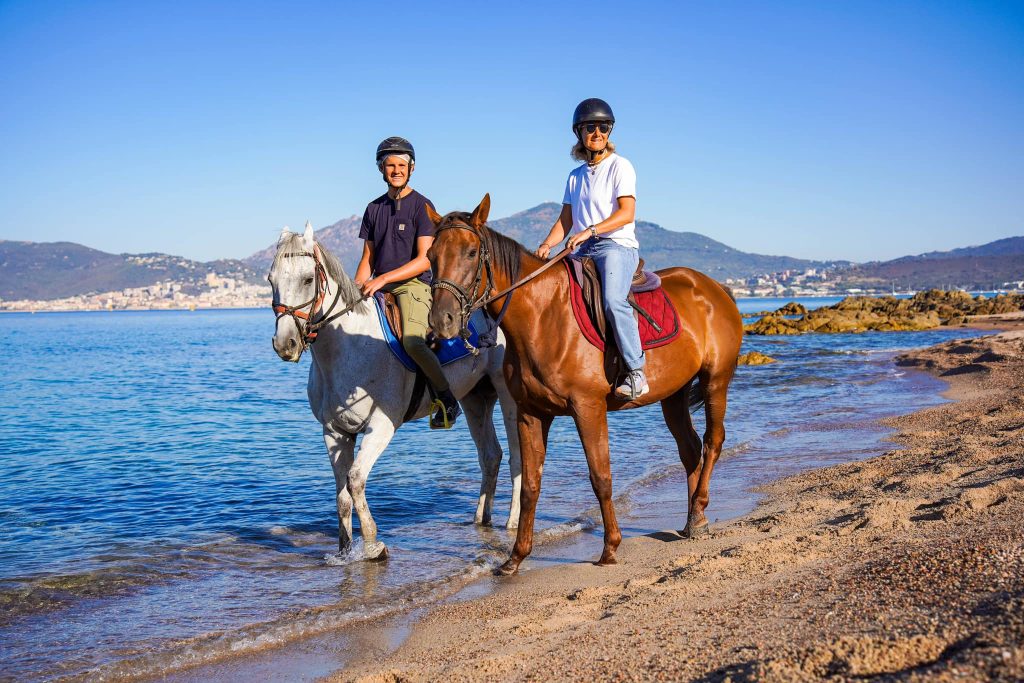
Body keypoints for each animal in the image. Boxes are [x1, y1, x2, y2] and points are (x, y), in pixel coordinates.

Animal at [268, 224, 520, 561]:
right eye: (271, 279)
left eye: (308, 279)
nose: (286, 344)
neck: (349, 347)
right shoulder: (334, 432)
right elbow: (342, 496)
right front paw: (344, 551)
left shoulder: (381, 427)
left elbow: (355, 480)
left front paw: (373, 545)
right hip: (475, 398)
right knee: (491, 455)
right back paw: (481, 519)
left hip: (508, 396)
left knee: (517, 457)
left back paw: (513, 521)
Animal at [425, 194, 745, 573]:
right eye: (431, 256)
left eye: (472, 252)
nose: (441, 321)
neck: (543, 317)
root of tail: (716, 288)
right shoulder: (530, 413)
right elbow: (530, 484)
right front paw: (516, 557)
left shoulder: (588, 408)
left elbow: (600, 477)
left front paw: (610, 548)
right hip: (674, 394)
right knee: (690, 449)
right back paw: (694, 518)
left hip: (716, 380)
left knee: (713, 441)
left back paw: (698, 509)